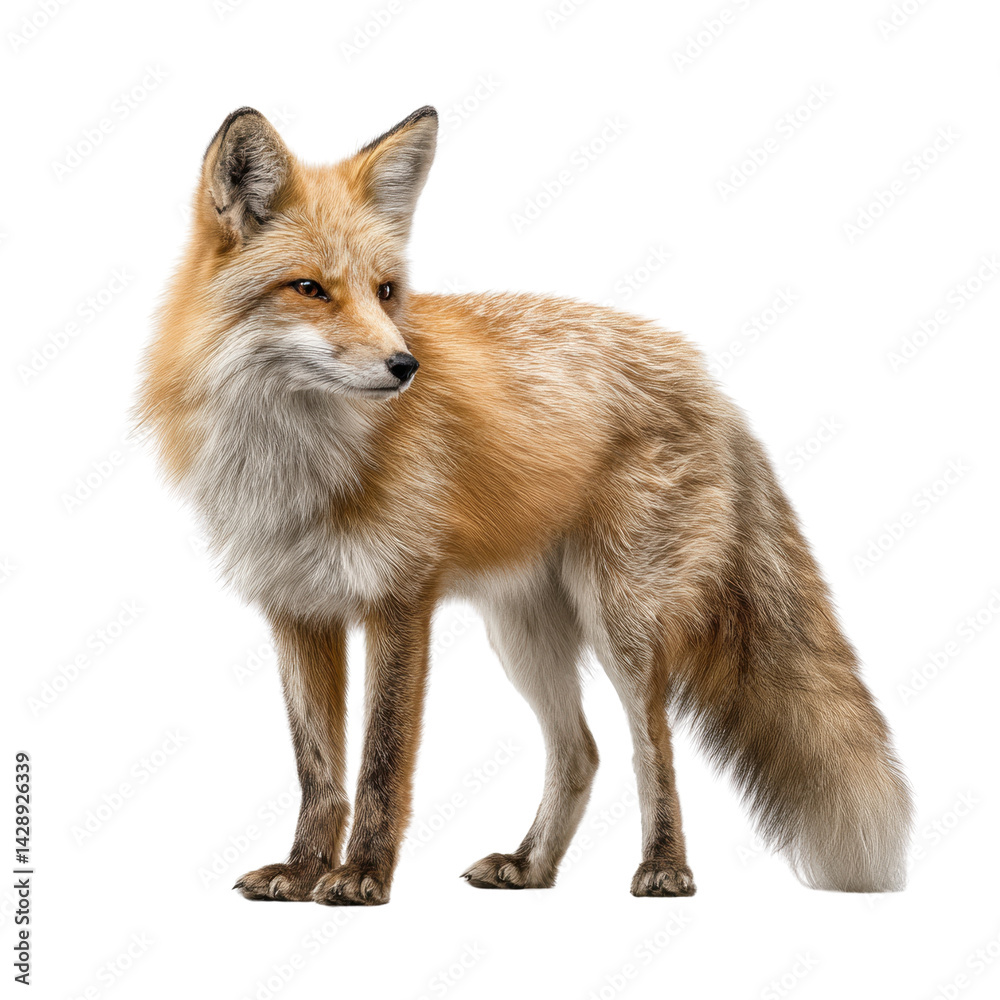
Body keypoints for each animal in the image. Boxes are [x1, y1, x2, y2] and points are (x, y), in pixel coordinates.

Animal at [137, 105, 912, 905]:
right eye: (310, 288)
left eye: (385, 292)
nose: (405, 366)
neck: (295, 464)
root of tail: (706, 379)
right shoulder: (296, 611)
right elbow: (318, 769)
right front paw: (301, 871)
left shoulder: (399, 601)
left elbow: (382, 763)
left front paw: (361, 876)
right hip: (523, 634)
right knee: (581, 753)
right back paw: (532, 865)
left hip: (622, 622)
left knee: (650, 746)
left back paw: (664, 866)